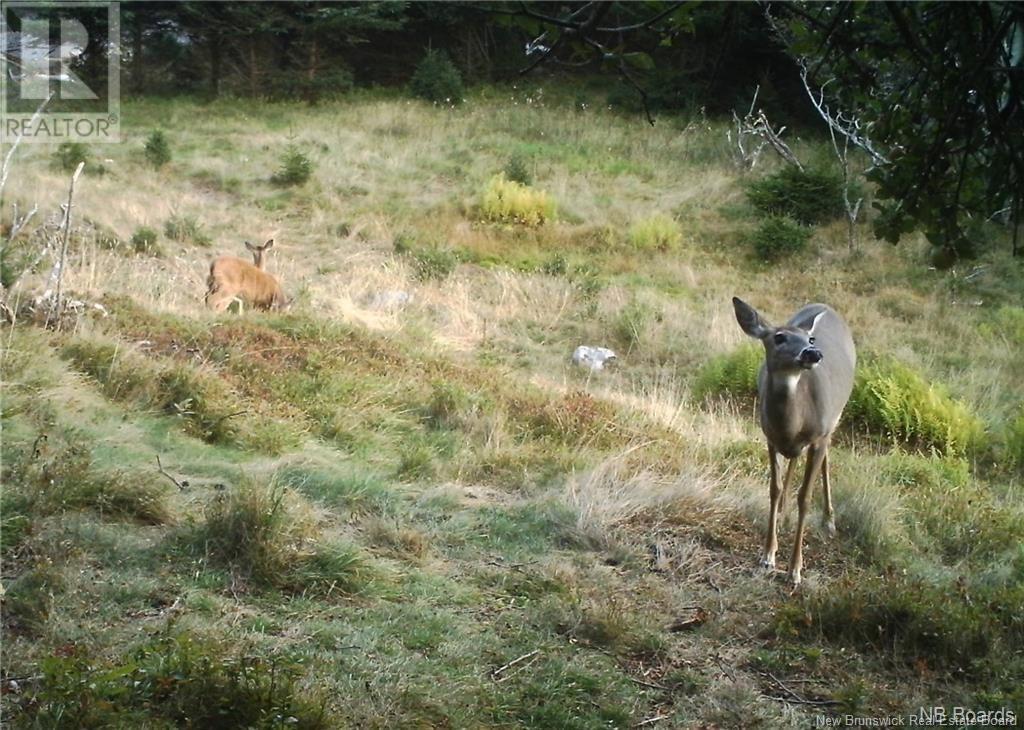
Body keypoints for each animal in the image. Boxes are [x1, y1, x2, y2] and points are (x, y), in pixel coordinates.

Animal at [737, 296, 856, 585]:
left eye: (810, 339)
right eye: (779, 337)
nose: (813, 353)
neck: (793, 423)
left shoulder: (819, 435)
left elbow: (805, 496)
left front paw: (795, 570)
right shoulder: (769, 437)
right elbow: (775, 488)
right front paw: (768, 554)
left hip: (834, 419)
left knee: (827, 457)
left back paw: (829, 520)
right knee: (794, 460)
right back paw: (782, 515)